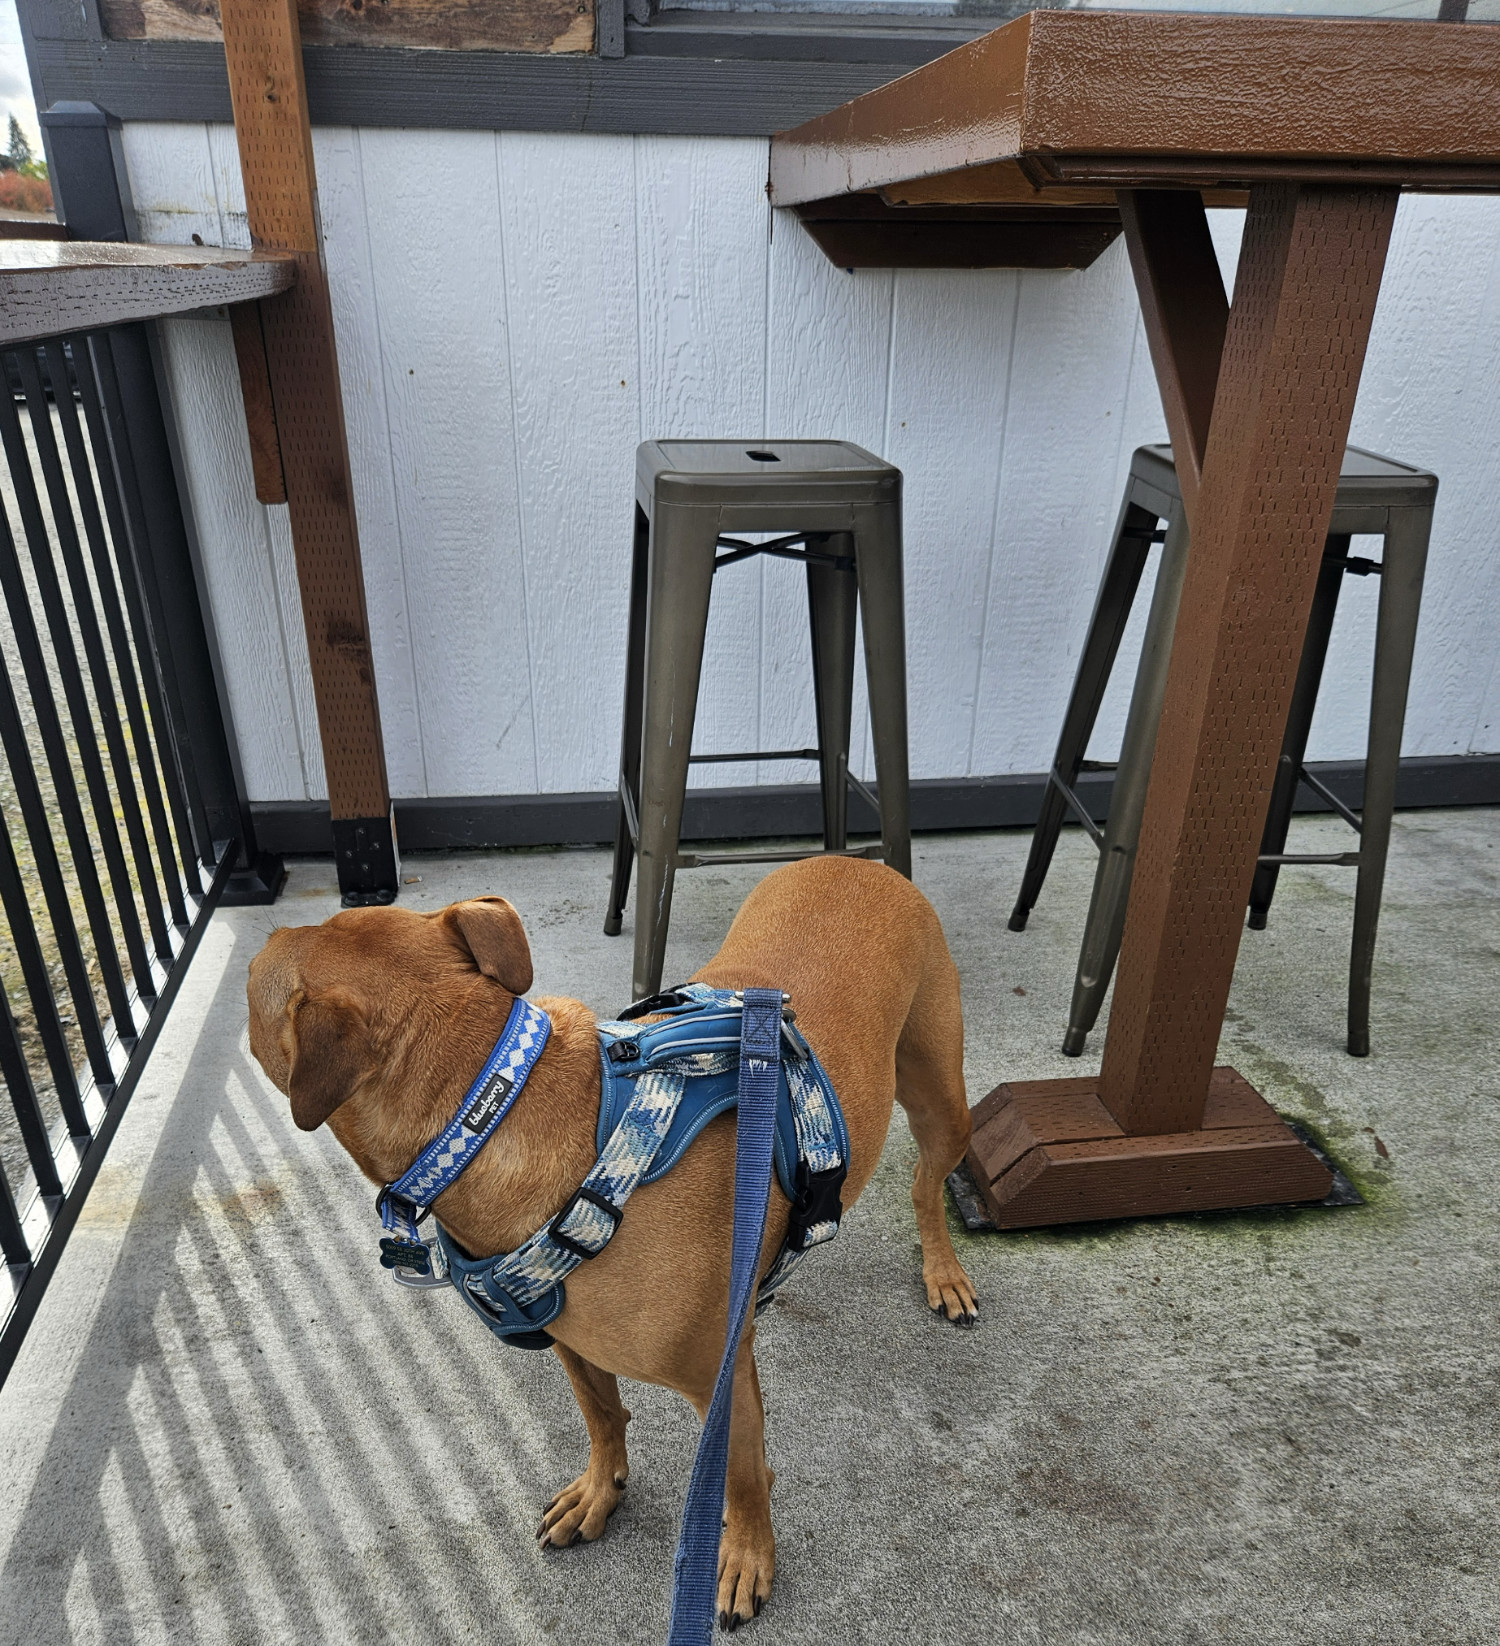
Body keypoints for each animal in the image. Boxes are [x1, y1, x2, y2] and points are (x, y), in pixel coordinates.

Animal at [248, 855, 974, 1626]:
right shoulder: (572, 1340)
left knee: (927, 1185)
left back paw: (944, 1274)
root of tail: (859, 861)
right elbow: (602, 1416)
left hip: (940, 1097)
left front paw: (746, 1555)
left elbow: (743, 1477)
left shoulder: (720, 1383)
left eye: (253, 984)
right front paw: (600, 1495)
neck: (493, 1108)